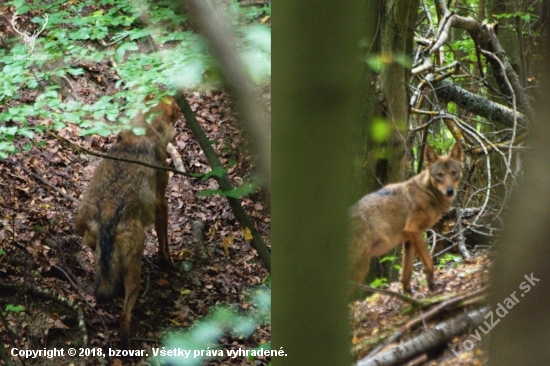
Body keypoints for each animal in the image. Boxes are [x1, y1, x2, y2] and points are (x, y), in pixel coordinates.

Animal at [74, 95, 179, 346]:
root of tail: (107, 213)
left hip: (92, 244)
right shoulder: (162, 204)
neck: (146, 126)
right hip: (136, 260)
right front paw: (169, 265)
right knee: (126, 311)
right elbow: (164, 245)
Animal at [352, 142, 464, 294]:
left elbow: (406, 273)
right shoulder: (414, 231)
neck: (428, 193)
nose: (450, 191)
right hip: (360, 269)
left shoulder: (408, 239)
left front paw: (408, 295)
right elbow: (429, 263)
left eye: (454, 173)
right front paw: (433, 288)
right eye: (439, 175)